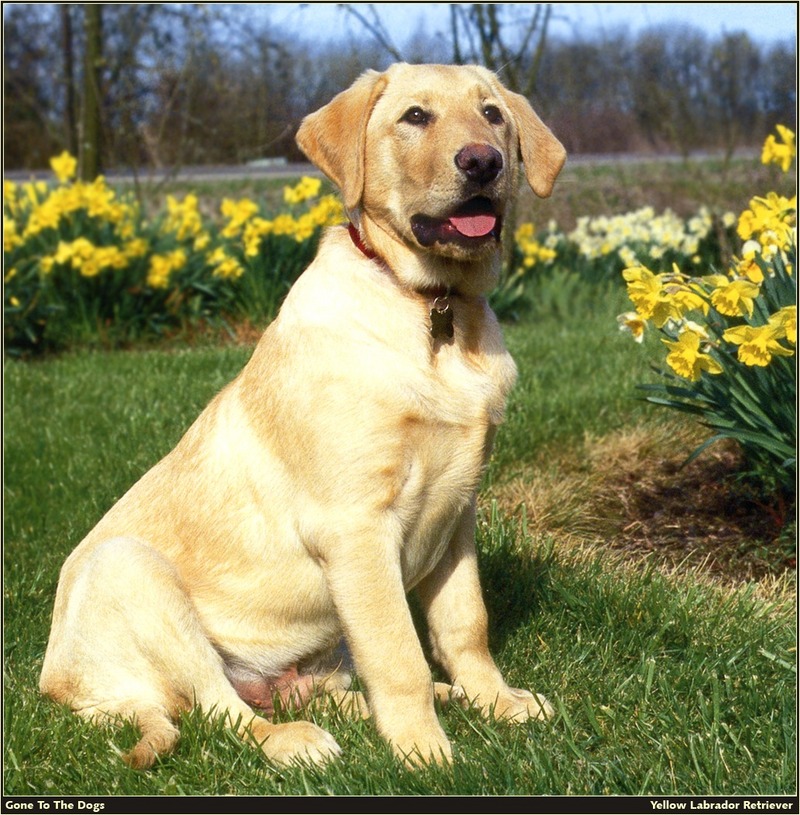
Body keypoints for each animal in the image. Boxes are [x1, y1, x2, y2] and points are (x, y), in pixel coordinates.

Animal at [37, 60, 564, 768]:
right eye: (415, 116)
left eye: (492, 115)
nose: (482, 162)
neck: (433, 305)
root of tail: (62, 690)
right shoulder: (356, 527)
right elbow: (399, 652)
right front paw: (425, 753)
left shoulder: (458, 513)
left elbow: (465, 626)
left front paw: (495, 702)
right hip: (132, 572)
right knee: (221, 710)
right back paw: (295, 740)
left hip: (318, 648)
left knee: (326, 690)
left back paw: (437, 699)